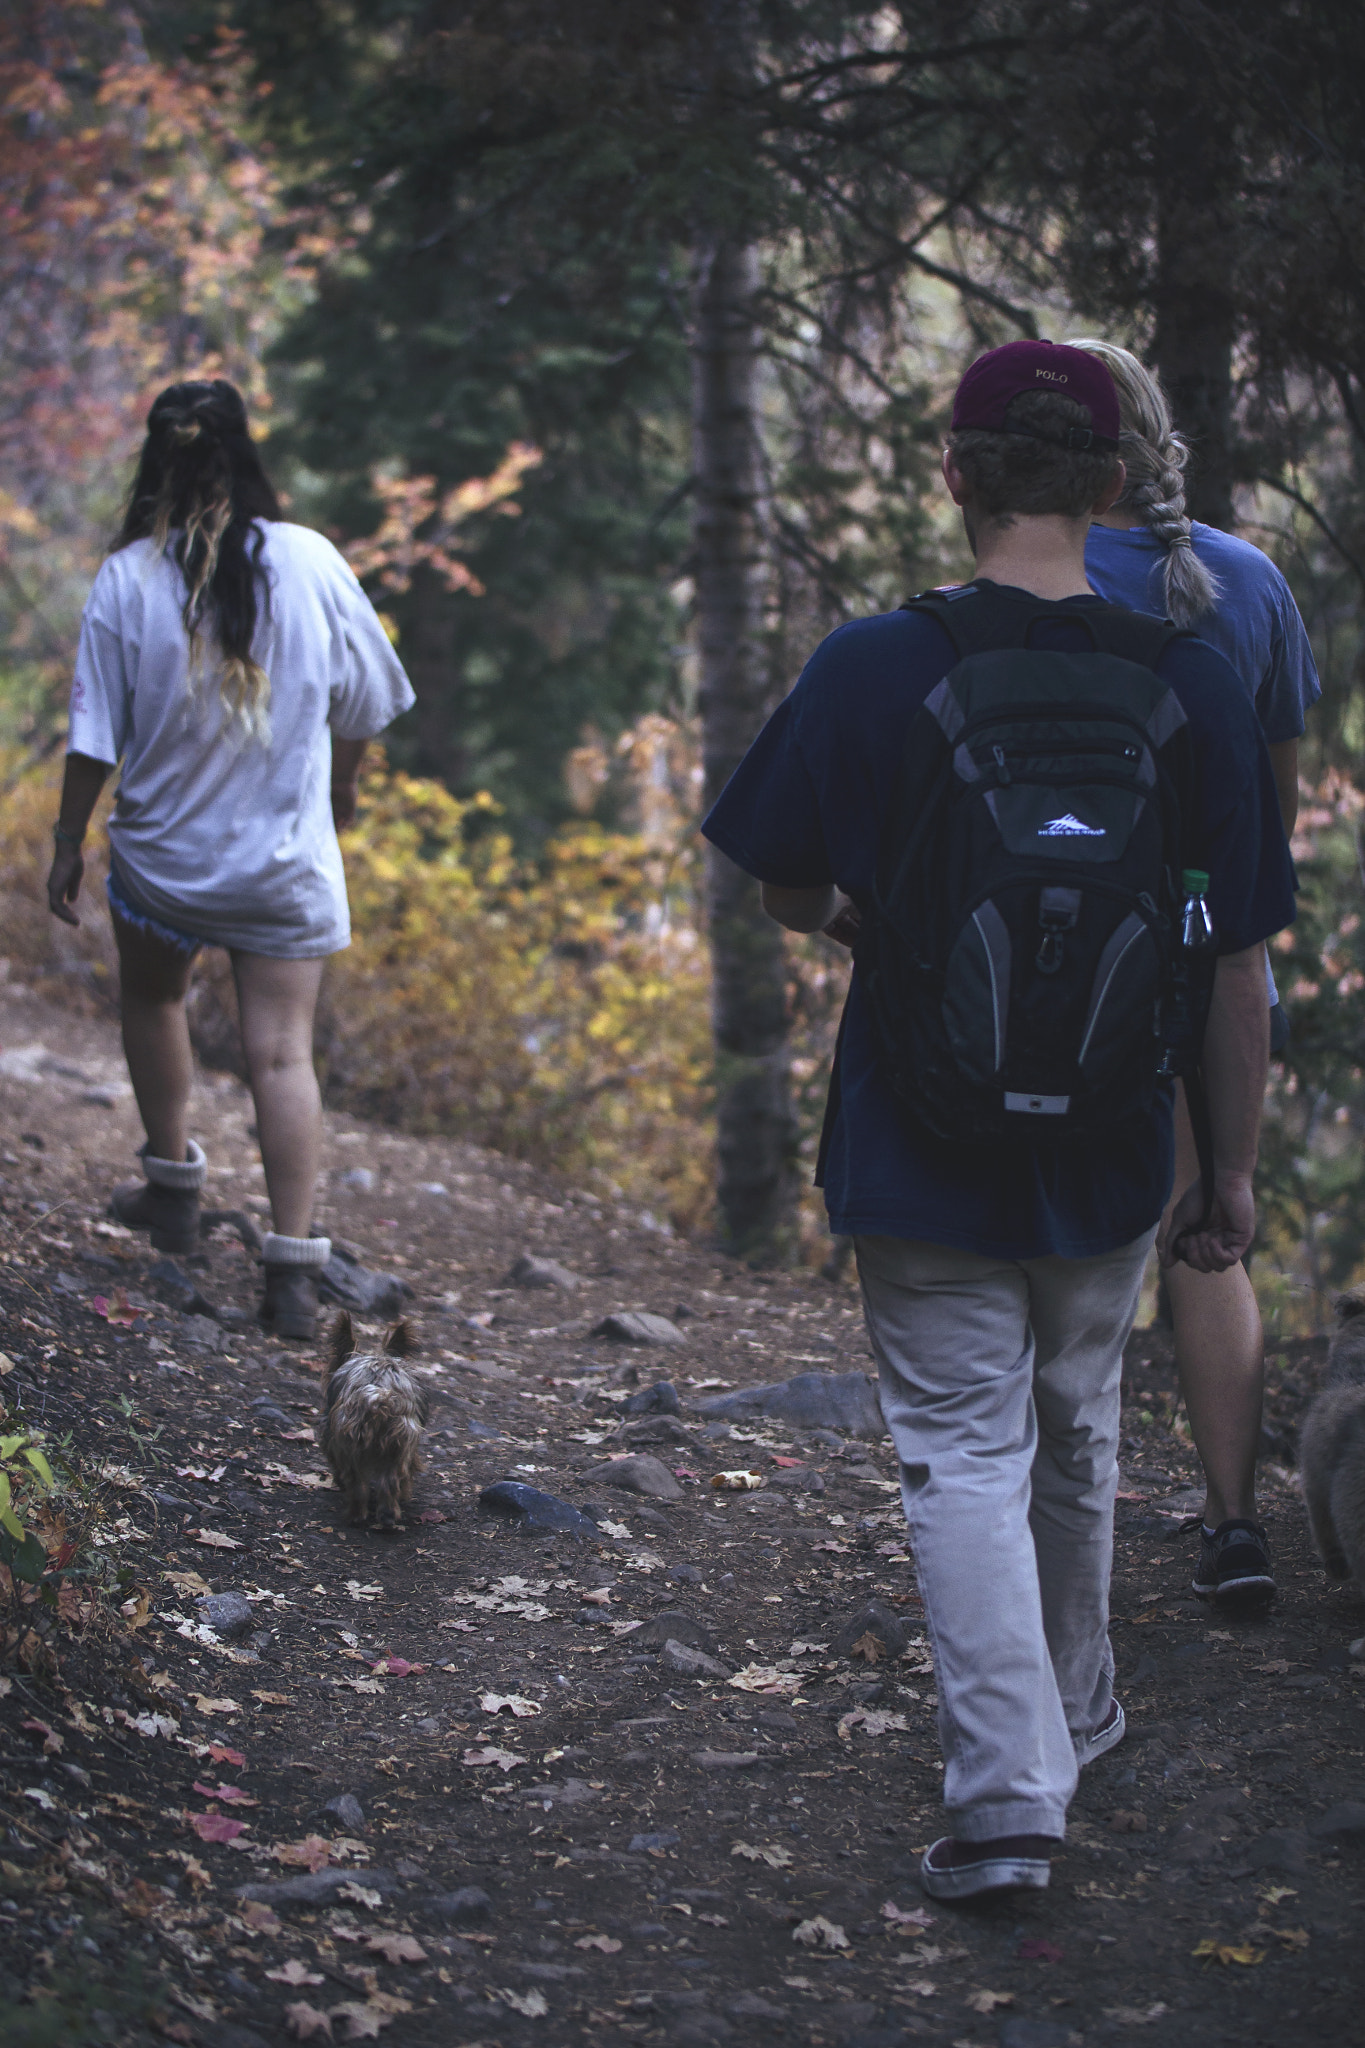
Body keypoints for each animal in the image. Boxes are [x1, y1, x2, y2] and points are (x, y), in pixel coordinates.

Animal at [321, 1310, 427, 1523]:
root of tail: (378, 1396)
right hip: (398, 1444)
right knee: (387, 1483)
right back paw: (386, 1517)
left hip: (350, 1444)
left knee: (360, 1486)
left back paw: (358, 1516)